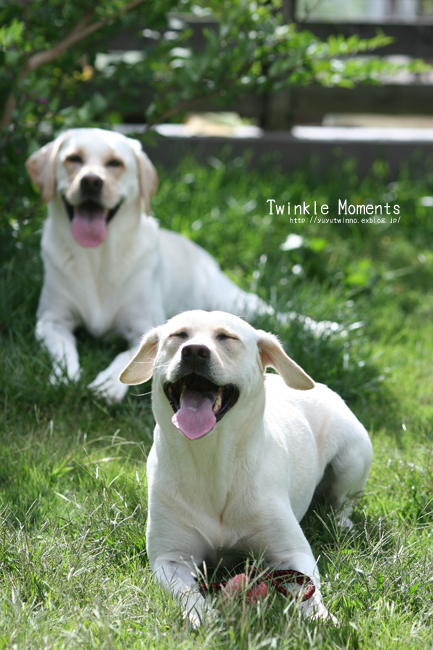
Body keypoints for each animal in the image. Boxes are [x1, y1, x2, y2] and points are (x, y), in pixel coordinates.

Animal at [119, 312, 372, 624]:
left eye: (227, 337)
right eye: (178, 335)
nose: (194, 351)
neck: (212, 458)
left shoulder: (291, 553)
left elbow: (307, 591)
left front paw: (321, 618)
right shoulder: (171, 558)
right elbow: (187, 593)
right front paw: (203, 617)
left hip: (353, 456)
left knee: (343, 501)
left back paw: (342, 522)